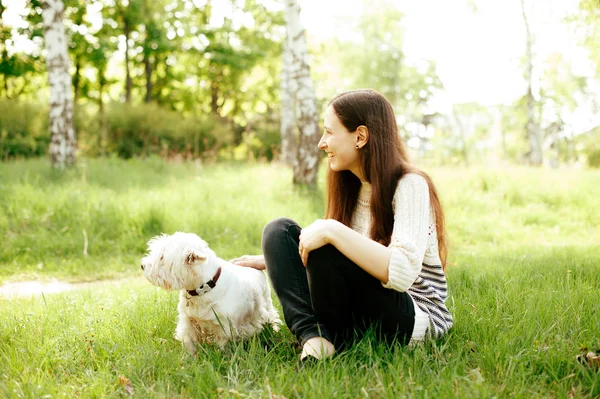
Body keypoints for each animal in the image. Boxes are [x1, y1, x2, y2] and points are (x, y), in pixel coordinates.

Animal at [141, 231, 282, 356]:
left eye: (161, 257)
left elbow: (222, 345)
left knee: (272, 317)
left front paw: (222, 357)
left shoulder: (225, 327)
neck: (203, 289)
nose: (142, 265)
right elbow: (189, 341)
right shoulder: (189, 320)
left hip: (266, 304)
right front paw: (190, 358)